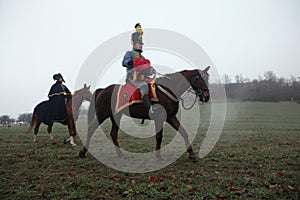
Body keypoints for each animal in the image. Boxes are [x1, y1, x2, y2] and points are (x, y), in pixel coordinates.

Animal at [79, 67, 211, 161]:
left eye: (207, 79)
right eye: (200, 79)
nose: (206, 97)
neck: (169, 89)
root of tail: (102, 90)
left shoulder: (170, 117)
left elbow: (184, 132)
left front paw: (192, 154)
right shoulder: (160, 118)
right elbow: (159, 137)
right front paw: (158, 156)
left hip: (116, 116)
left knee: (113, 134)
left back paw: (120, 154)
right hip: (102, 114)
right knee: (91, 129)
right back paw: (82, 152)